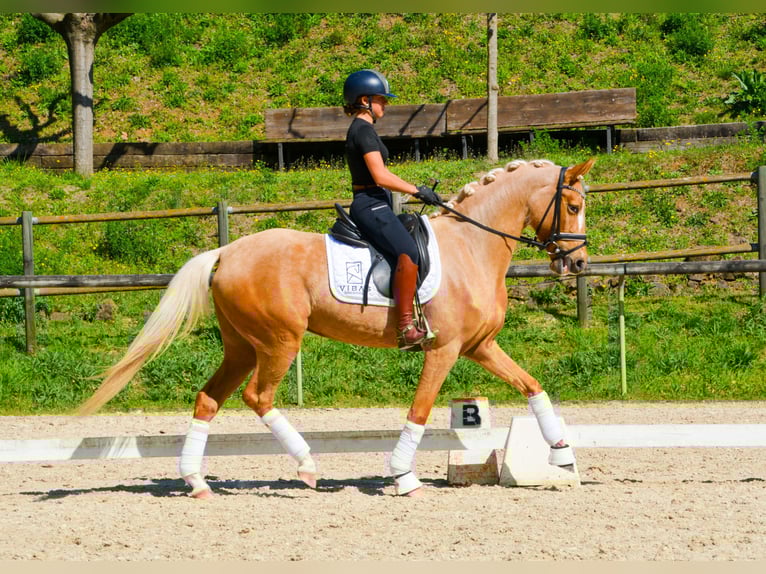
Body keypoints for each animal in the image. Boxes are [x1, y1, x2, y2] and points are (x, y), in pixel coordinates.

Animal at [77, 157, 596, 498]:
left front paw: (562, 454)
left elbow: (532, 386)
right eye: (571, 206)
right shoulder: (444, 350)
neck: (472, 245)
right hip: (279, 341)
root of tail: (226, 251)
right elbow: (421, 409)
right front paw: (403, 476)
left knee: (209, 399)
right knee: (257, 396)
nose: (577, 263)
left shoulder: (480, 346)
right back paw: (307, 466)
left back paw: (197, 482)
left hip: (241, 346)